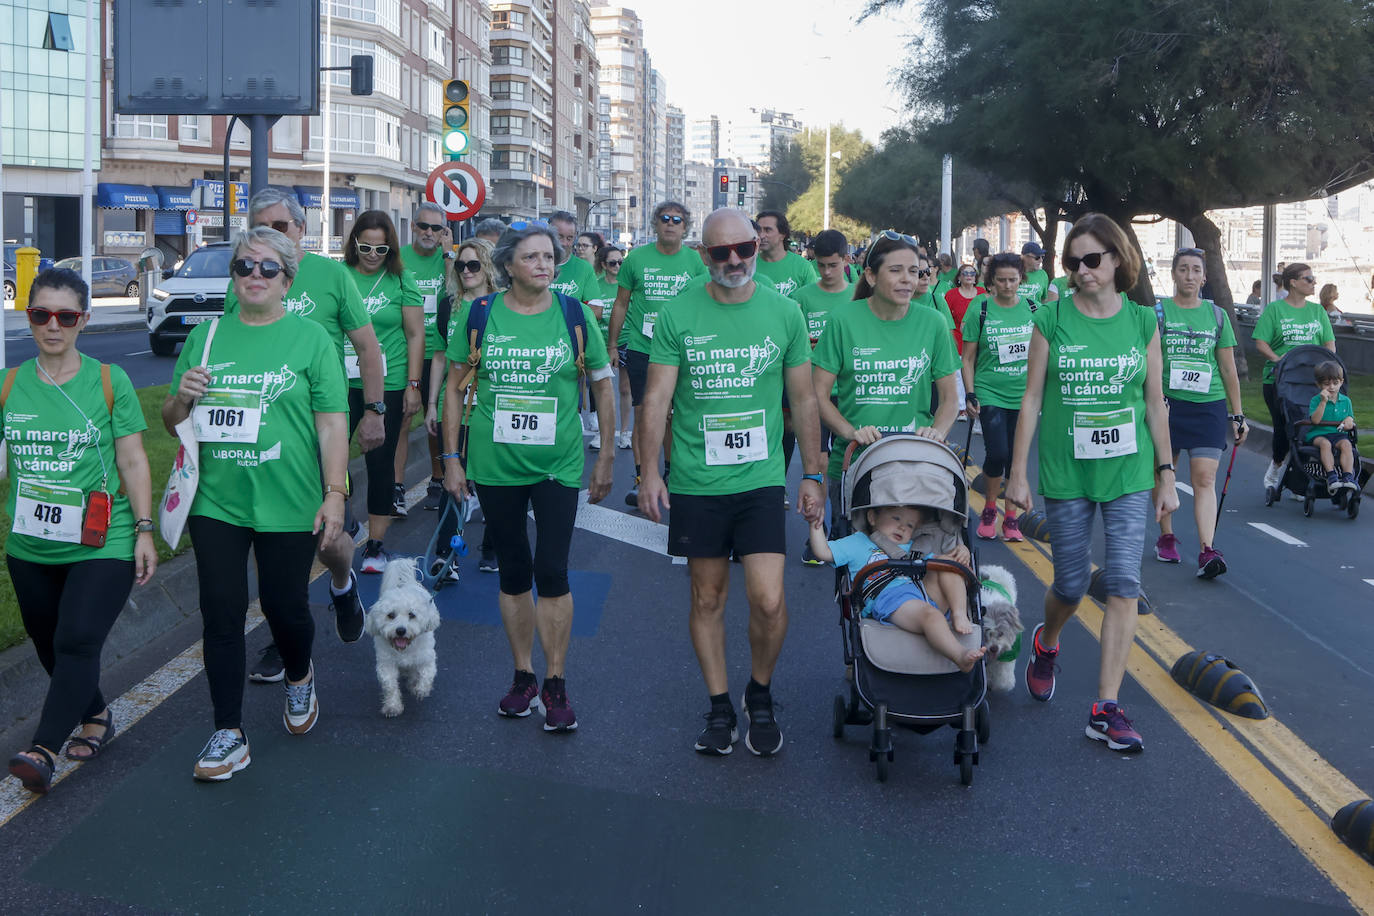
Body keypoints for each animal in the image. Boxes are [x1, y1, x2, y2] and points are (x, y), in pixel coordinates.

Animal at [365, 560, 439, 714]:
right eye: (390, 615)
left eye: (412, 614)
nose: (400, 630)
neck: (405, 649)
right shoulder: (386, 664)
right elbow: (390, 685)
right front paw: (393, 706)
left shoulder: (427, 658)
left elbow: (427, 674)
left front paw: (421, 690)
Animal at [978, 563, 1022, 692]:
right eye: (986, 633)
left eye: (1001, 633)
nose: (994, 648)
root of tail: (993, 568)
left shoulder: (1008, 654)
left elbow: (1002, 675)